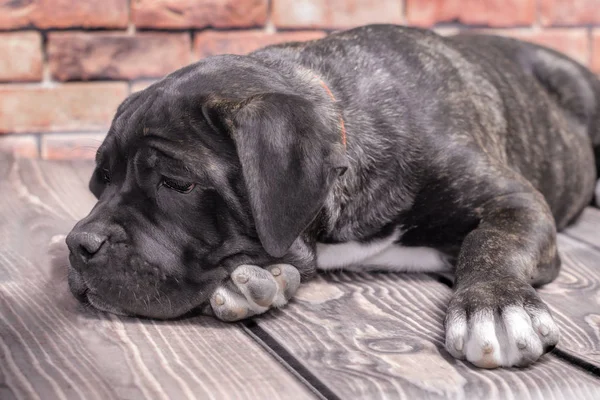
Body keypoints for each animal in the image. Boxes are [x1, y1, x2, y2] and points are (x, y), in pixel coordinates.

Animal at [65, 25, 600, 368]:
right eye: (100, 180)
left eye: (177, 184)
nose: (78, 243)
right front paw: (259, 282)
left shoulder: (517, 201)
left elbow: (490, 242)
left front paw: (495, 307)